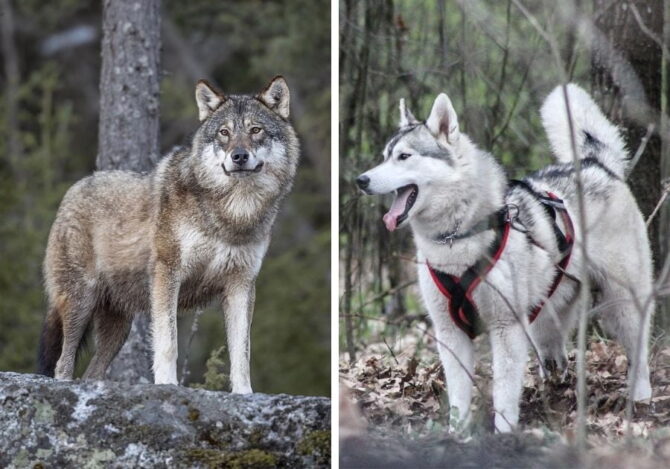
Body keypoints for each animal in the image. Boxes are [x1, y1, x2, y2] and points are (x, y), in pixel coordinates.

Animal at [37, 76, 299, 393]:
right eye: (224, 133)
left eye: (255, 130)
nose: (238, 156)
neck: (231, 216)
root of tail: (73, 190)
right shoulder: (168, 273)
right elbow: (168, 341)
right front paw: (167, 385)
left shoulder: (242, 284)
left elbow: (242, 352)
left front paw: (244, 393)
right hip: (81, 301)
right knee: (62, 364)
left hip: (119, 328)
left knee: (91, 372)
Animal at [356, 84, 653, 432]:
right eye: (384, 157)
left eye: (404, 156)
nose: (361, 180)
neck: (456, 239)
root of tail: (595, 164)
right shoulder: (449, 331)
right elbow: (458, 394)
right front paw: (457, 433)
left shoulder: (505, 326)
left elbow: (503, 390)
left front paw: (504, 432)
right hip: (545, 312)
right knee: (554, 350)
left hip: (623, 302)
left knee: (638, 350)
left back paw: (640, 396)